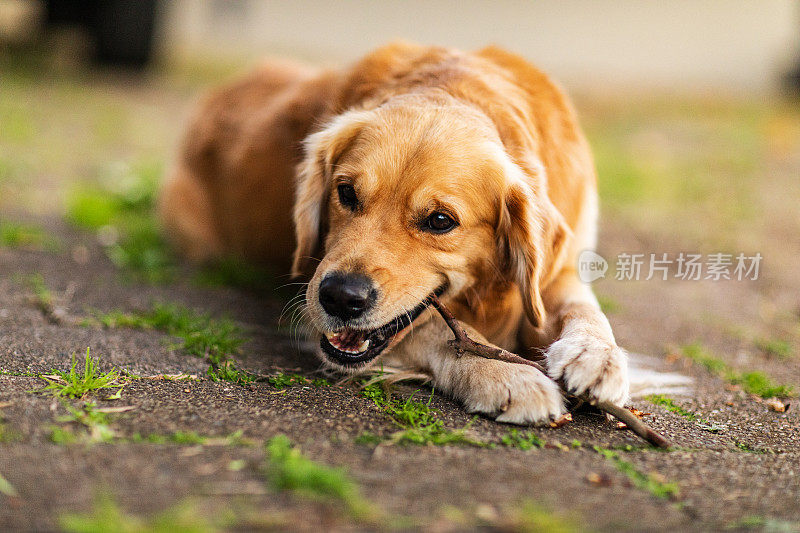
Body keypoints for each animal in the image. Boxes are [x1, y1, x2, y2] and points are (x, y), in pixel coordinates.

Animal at [161, 41, 624, 424]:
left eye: (440, 221)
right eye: (346, 193)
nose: (340, 297)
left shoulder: (560, 265)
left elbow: (580, 304)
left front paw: (598, 355)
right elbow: (442, 330)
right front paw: (507, 373)